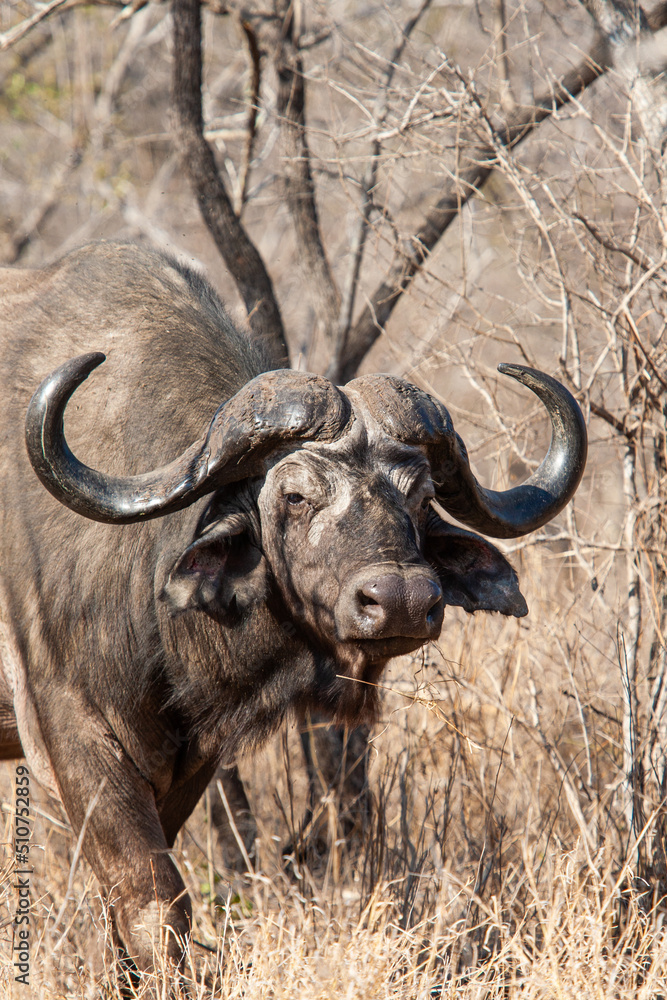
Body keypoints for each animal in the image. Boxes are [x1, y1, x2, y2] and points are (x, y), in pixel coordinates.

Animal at [0, 241, 586, 970]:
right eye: (295, 496)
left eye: (420, 497)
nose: (400, 601)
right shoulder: (69, 733)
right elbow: (152, 902)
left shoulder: (188, 756)